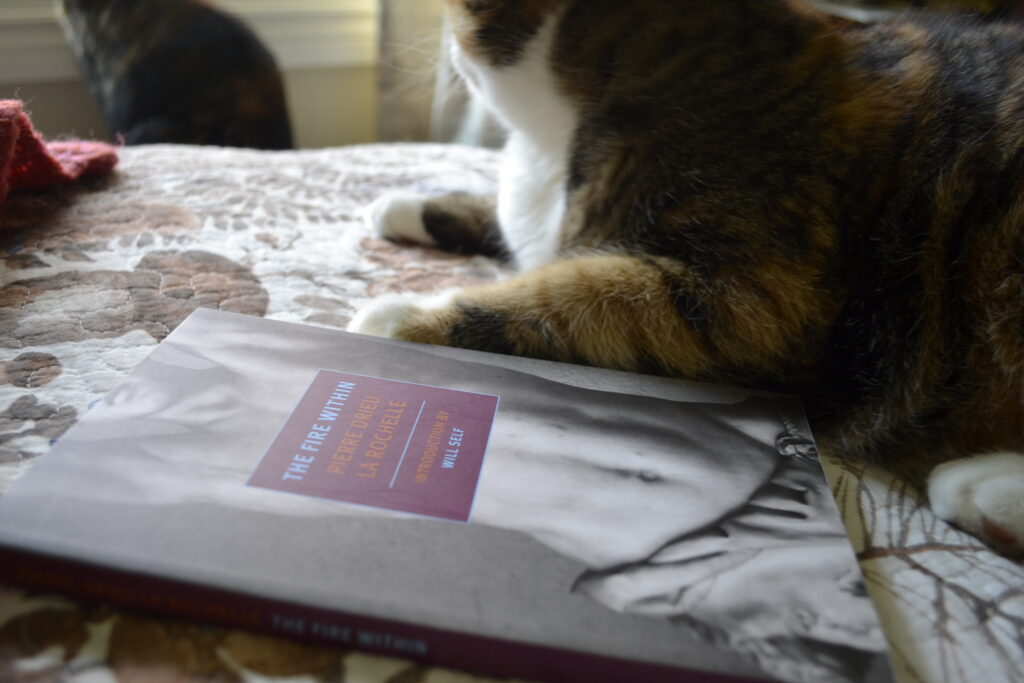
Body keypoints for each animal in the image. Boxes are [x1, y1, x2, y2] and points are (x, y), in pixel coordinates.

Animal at [350, 0, 1024, 557]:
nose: (443, 48)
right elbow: (512, 224)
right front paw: (407, 204)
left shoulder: (759, 303)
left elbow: (573, 293)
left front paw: (404, 318)